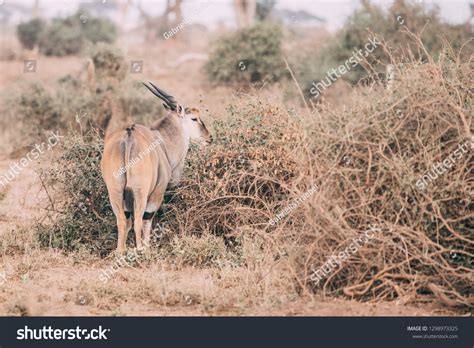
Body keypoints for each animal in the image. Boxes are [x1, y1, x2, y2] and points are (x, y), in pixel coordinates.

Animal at [102, 82, 211, 251]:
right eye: (194, 118)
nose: (209, 138)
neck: (162, 140)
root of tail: (129, 137)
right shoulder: (156, 194)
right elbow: (147, 221)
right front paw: (147, 249)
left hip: (115, 192)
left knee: (122, 221)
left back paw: (121, 251)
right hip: (140, 193)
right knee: (138, 221)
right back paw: (140, 250)